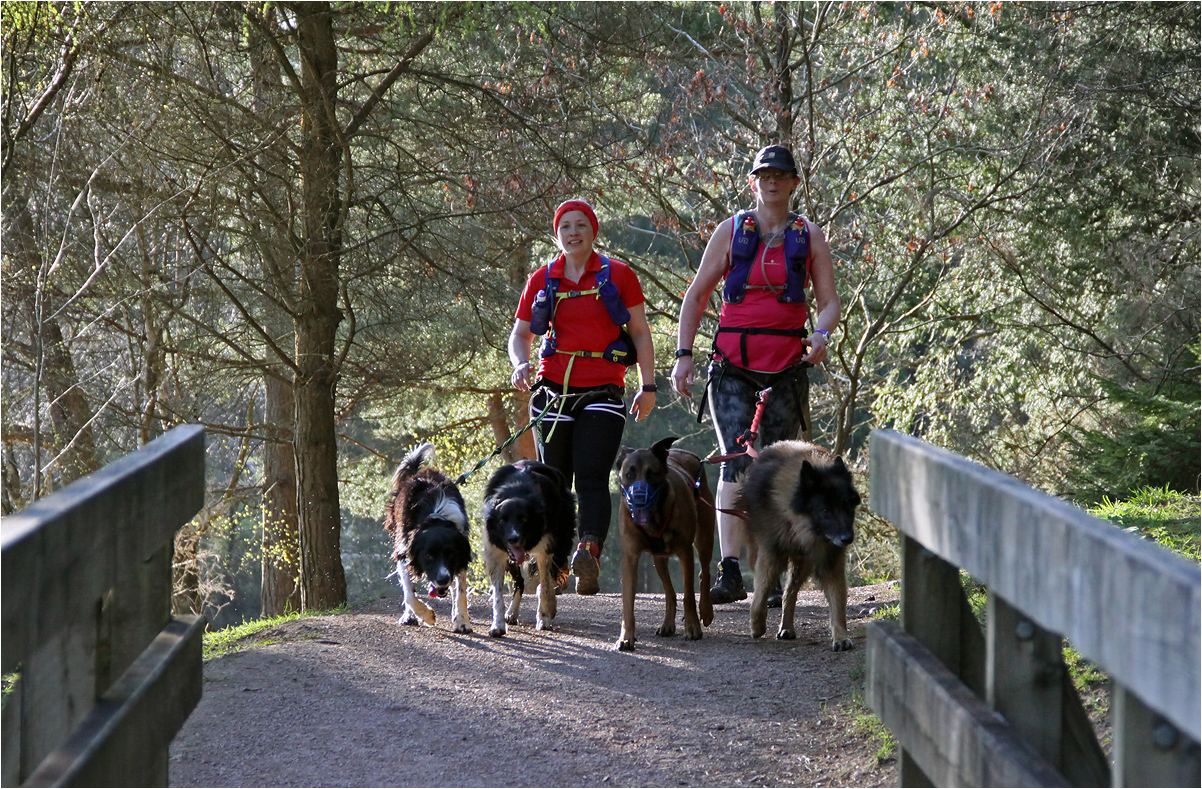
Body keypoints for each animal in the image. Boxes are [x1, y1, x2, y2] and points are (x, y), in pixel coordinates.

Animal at [387, 442, 475, 635]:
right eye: (428, 555)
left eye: (451, 554)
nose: (442, 579)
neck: (436, 518)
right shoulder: (403, 550)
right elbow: (409, 593)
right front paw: (426, 616)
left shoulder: (461, 552)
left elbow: (460, 591)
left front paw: (462, 621)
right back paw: (410, 615)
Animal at [480, 459, 574, 639]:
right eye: (502, 520)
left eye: (523, 519)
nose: (513, 538)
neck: (516, 490)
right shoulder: (497, 553)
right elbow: (498, 595)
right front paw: (498, 625)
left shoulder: (545, 549)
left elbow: (545, 586)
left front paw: (544, 619)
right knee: (520, 583)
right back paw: (512, 613)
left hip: (560, 544)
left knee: (550, 578)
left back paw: (550, 607)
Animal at [620, 435, 711, 649]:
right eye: (629, 474)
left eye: (651, 473)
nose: (638, 498)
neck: (654, 519)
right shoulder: (631, 557)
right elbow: (628, 602)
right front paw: (626, 636)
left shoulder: (685, 552)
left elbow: (688, 595)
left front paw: (692, 627)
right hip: (659, 558)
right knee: (670, 593)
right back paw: (667, 624)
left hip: (704, 538)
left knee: (705, 572)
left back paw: (706, 610)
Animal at [740, 440, 865, 649]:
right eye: (825, 510)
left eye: (847, 507)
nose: (847, 539)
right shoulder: (770, 554)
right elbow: (760, 593)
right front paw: (757, 625)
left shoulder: (829, 560)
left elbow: (838, 602)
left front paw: (840, 637)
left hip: (802, 564)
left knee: (789, 593)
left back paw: (786, 627)